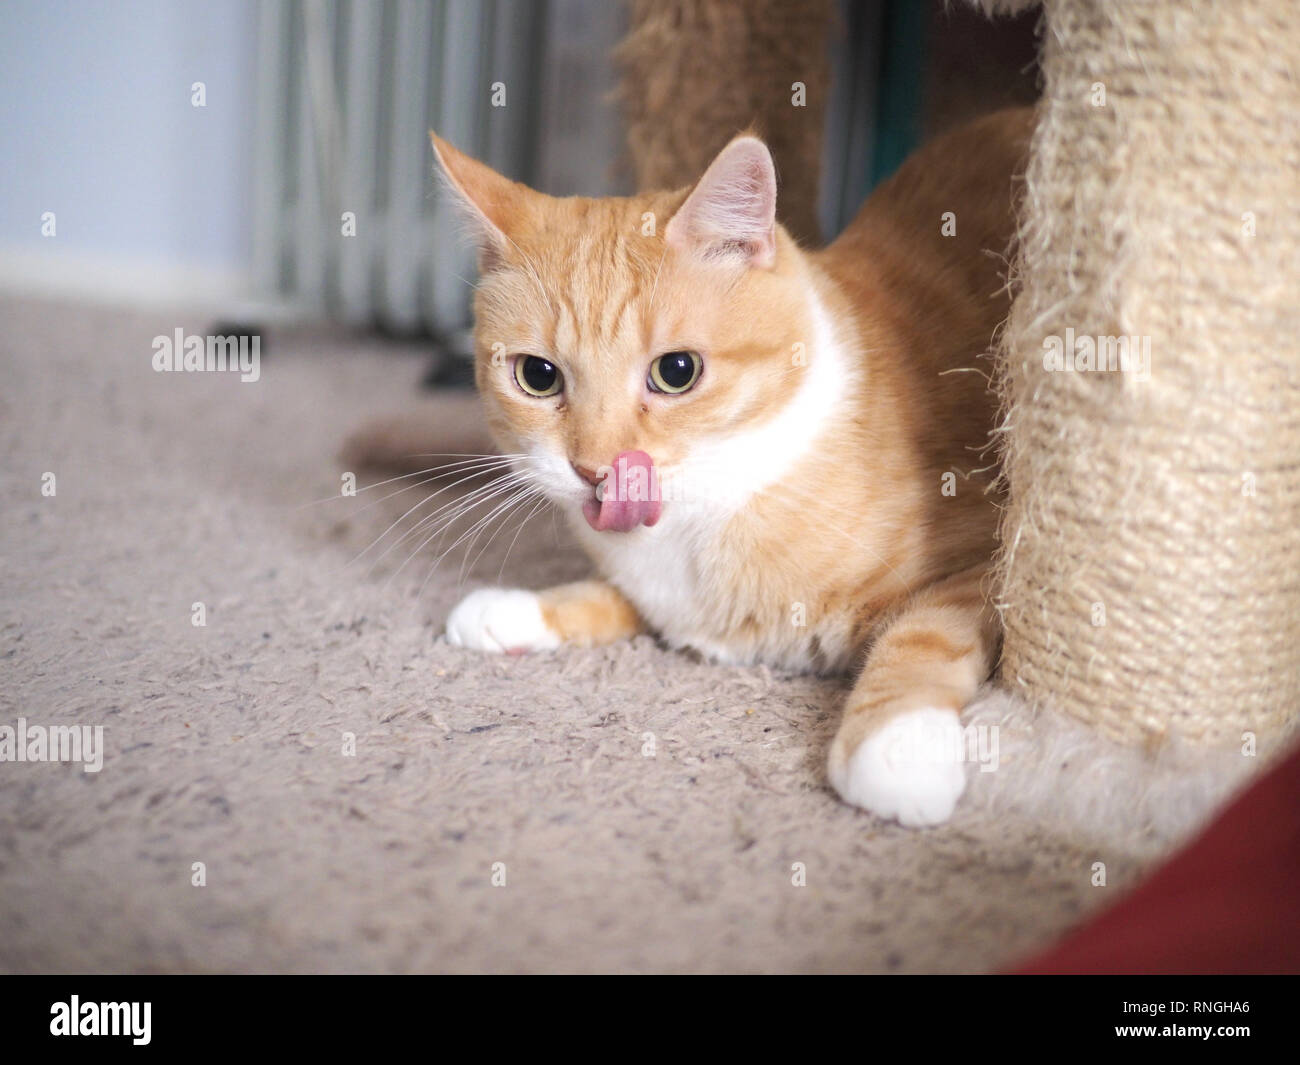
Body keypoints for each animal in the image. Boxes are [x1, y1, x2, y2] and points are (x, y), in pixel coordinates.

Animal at [431, 110, 1029, 827]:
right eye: (538, 376)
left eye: (676, 371)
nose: (595, 469)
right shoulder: (658, 594)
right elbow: (617, 596)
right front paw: (520, 608)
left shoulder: (988, 554)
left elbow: (923, 637)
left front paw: (896, 746)